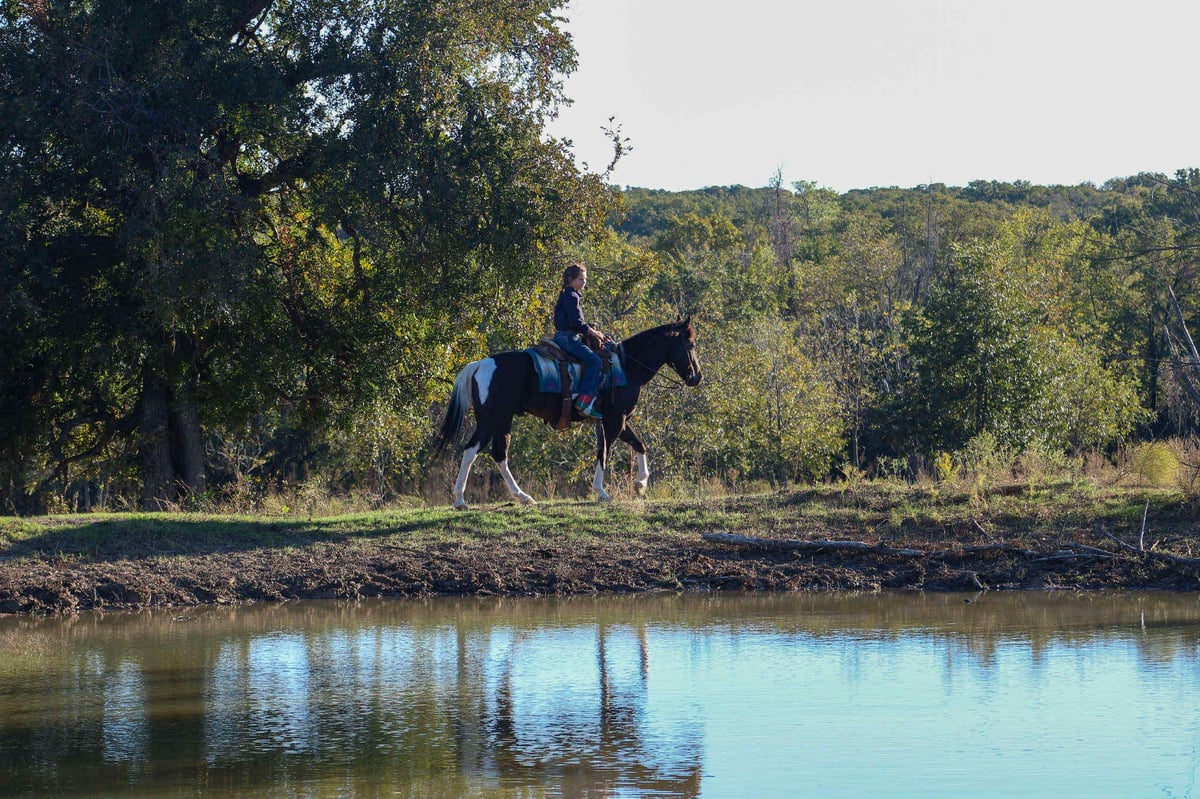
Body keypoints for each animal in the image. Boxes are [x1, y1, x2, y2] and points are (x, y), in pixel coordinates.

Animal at [433, 319, 703, 509]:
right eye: (690, 344)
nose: (697, 377)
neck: (627, 366)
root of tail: (480, 364)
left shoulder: (620, 420)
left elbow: (639, 445)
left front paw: (641, 485)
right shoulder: (614, 420)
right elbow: (604, 452)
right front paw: (601, 491)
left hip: (503, 420)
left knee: (499, 454)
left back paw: (522, 496)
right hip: (490, 420)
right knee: (471, 451)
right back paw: (460, 499)